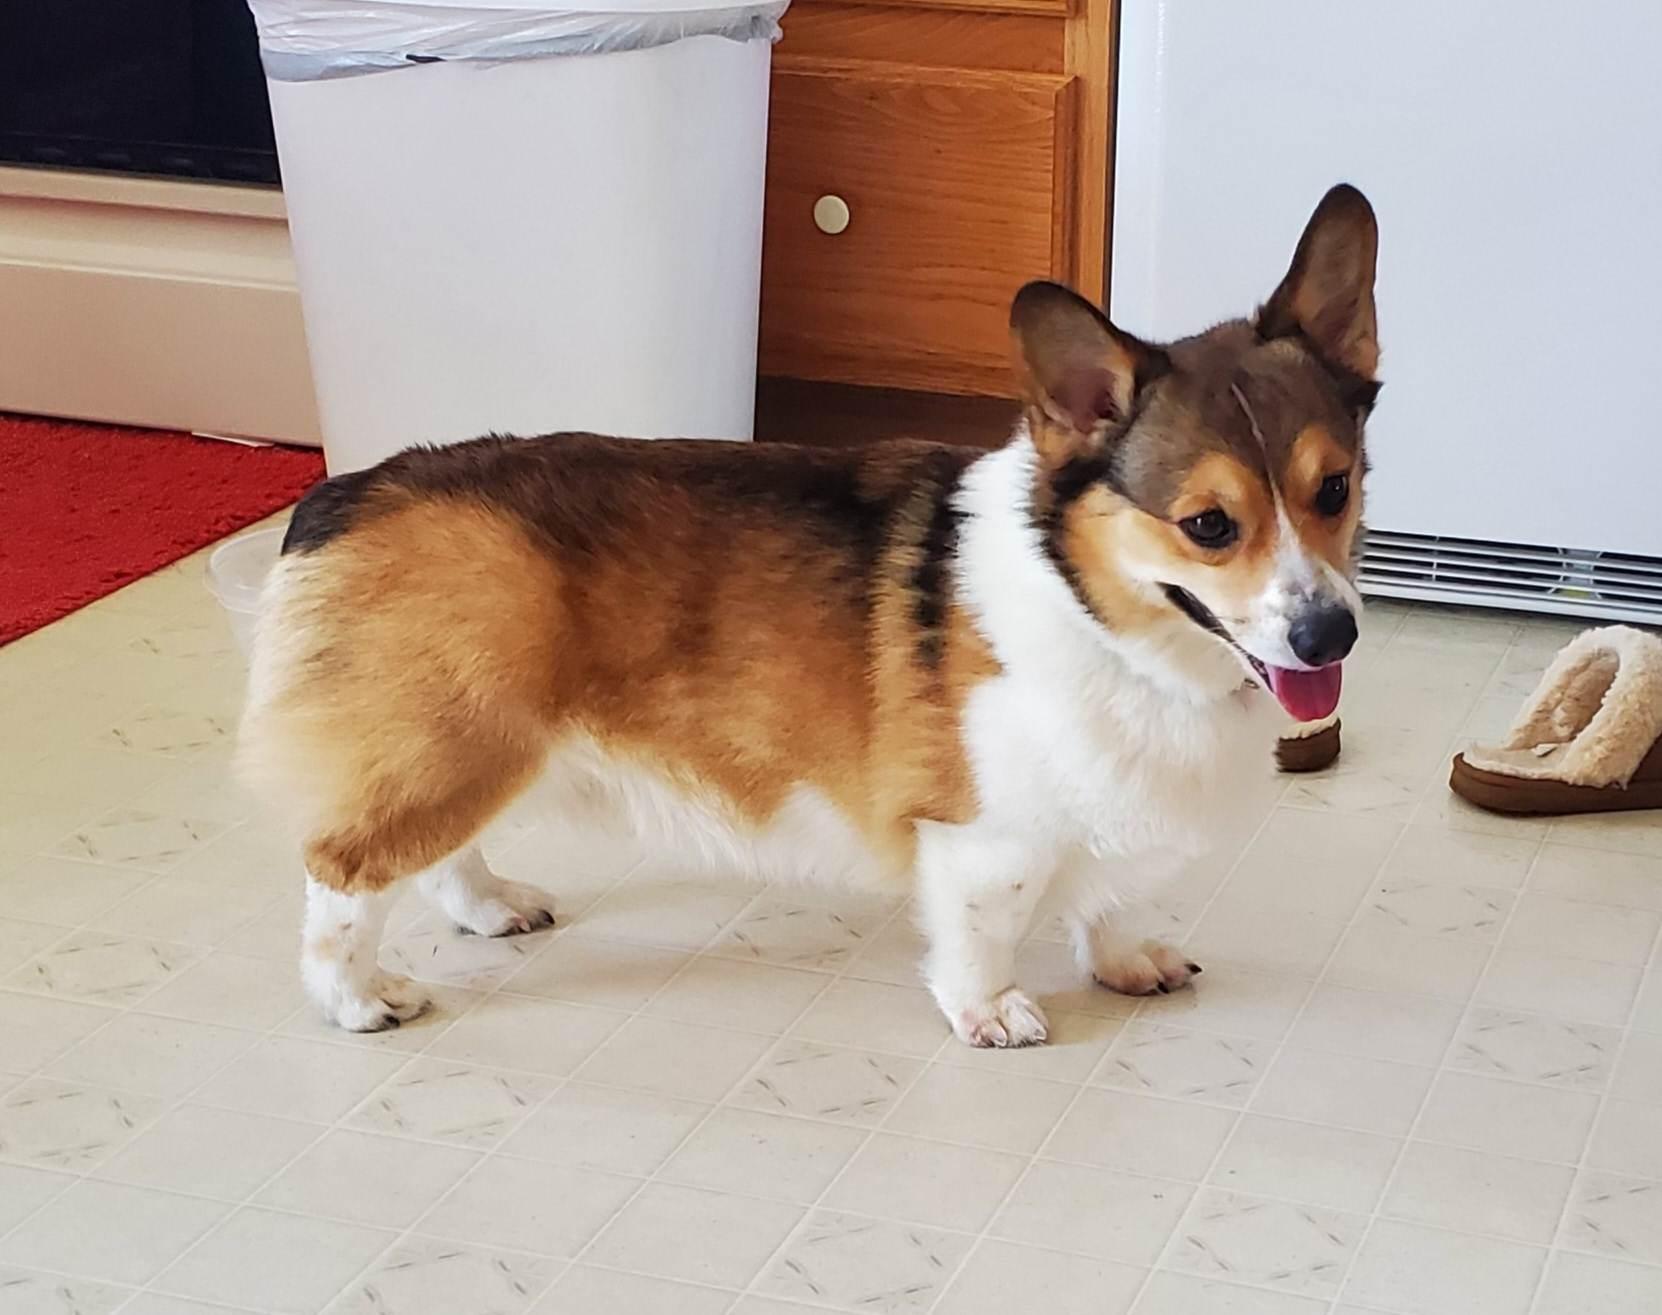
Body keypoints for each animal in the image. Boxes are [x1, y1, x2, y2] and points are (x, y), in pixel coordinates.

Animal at [239, 183, 1379, 1044]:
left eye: (1334, 489)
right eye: (1208, 525)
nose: (1331, 637)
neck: (1102, 612)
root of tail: (348, 493)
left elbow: (1109, 897)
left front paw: (1128, 959)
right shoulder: (981, 834)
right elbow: (984, 926)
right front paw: (991, 1011)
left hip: (475, 742)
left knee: (437, 853)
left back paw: (490, 907)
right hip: (456, 741)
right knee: (344, 872)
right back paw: (356, 997)